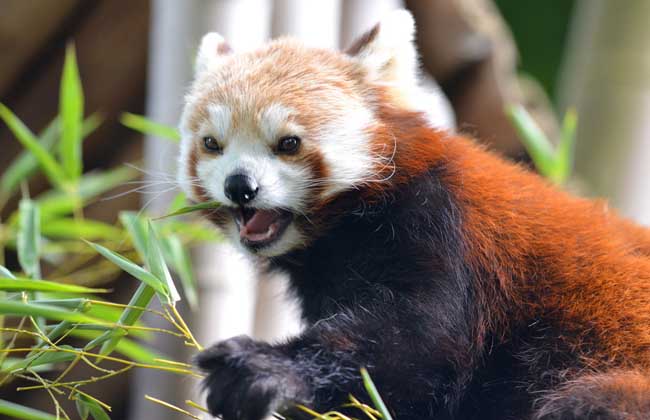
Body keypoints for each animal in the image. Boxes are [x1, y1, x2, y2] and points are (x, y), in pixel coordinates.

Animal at [176, 9, 648, 420]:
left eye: (288, 143)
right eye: (212, 144)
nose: (240, 186)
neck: (341, 234)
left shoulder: (445, 230)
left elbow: (414, 341)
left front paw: (266, 368)